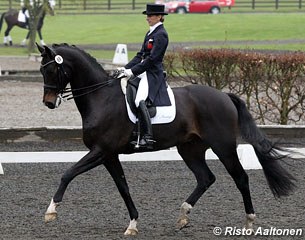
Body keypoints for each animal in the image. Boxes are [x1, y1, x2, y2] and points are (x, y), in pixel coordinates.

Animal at [36, 43, 296, 236]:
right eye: (41, 71)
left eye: (52, 70)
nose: (48, 103)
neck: (101, 97)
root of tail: (224, 95)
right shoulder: (109, 155)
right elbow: (123, 188)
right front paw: (133, 225)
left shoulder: (101, 151)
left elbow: (68, 173)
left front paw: (51, 211)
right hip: (190, 149)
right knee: (205, 178)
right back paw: (182, 216)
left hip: (223, 147)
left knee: (240, 178)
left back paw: (249, 222)